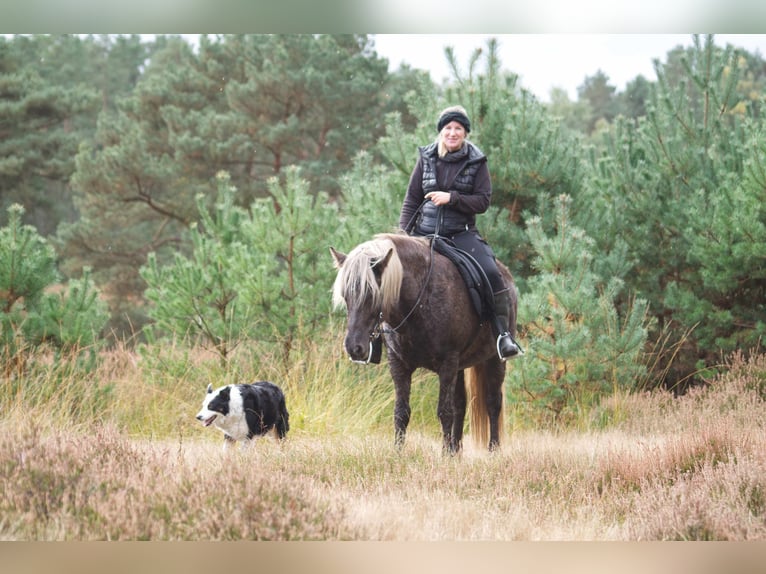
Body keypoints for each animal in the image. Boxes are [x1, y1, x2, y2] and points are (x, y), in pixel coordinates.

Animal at [332, 233, 520, 454]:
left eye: (371, 293)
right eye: (345, 295)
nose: (354, 348)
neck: (418, 301)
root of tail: (506, 275)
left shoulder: (447, 363)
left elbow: (444, 411)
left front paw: (445, 455)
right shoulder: (399, 364)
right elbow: (401, 411)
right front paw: (399, 453)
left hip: (494, 359)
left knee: (493, 402)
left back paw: (493, 450)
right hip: (460, 366)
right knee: (460, 403)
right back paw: (456, 449)